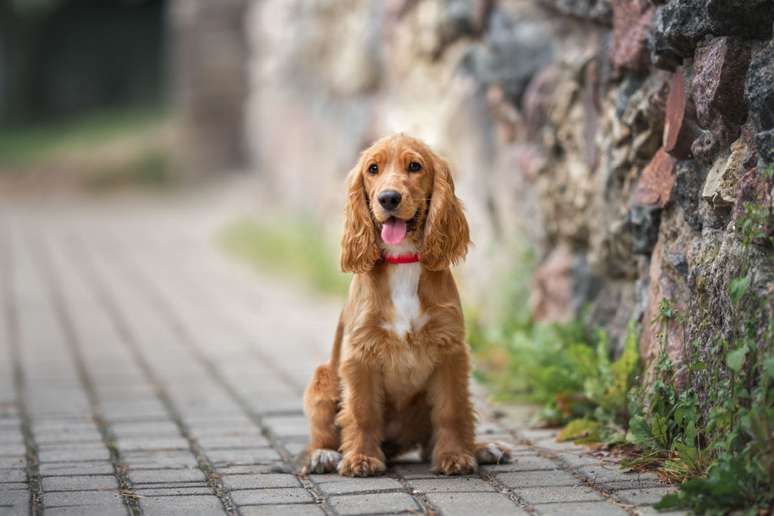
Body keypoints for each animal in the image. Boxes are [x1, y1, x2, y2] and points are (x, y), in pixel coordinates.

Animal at [304, 133, 516, 476]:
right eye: (373, 168)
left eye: (415, 166)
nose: (389, 198)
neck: (403, 259)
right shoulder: (360, 354)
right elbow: (362, 411)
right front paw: (361, 458)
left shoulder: (450, 350)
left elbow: (452, 410)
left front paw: (455, 456)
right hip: (322, 380)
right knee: (323, 433)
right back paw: (322, 455)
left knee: (438, 435)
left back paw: (482, 448)